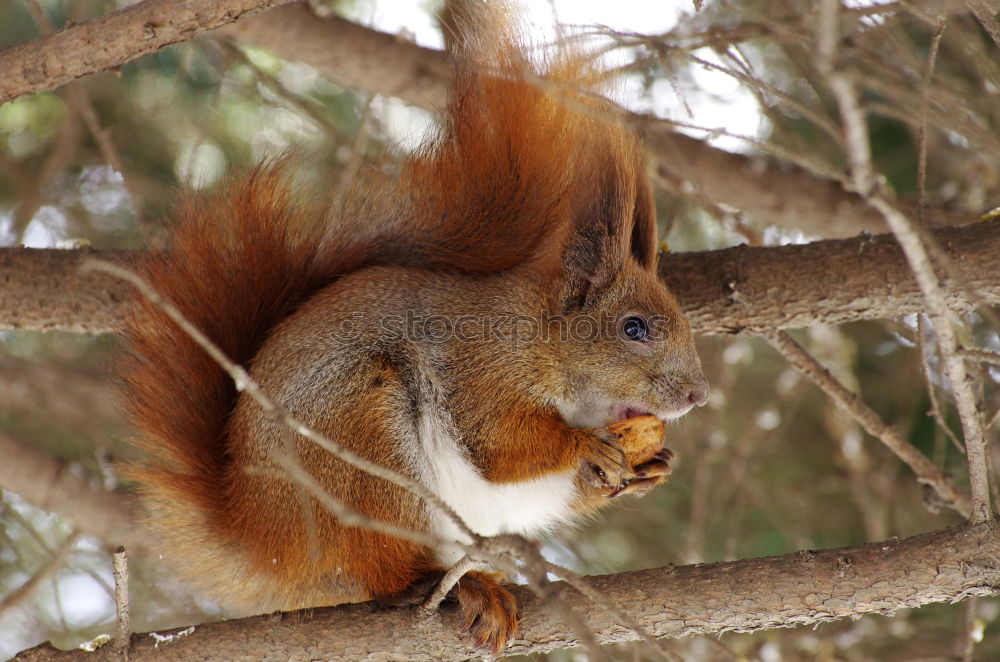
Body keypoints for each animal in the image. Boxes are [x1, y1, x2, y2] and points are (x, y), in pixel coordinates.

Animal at [117, 3, 712, 652]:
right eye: (634, 328)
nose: (698, 395)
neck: (545, 346)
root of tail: (259, 534)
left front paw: (651, 465)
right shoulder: (481, 368)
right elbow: (499, 447)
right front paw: (583, 445)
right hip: (360, 442)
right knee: (383, 567)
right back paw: (454, 585)